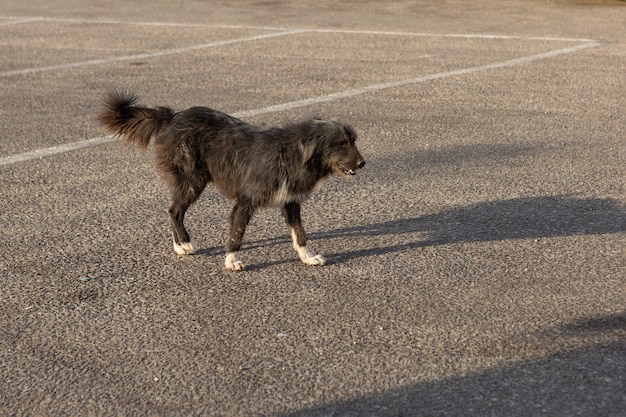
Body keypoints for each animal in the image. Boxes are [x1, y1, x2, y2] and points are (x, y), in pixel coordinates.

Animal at [95, 91, 364, 270]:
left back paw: (179, 244)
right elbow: (236, 234)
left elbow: (299, 234)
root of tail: (173, 116)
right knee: (174, 210)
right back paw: (184, 244)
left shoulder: (290, 202)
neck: (292, 154)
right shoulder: (245, 202)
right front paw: (231, 260)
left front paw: (308, 257)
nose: (363, 163)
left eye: (353, 141)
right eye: (340, 144)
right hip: (193, 180)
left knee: (173, 210)